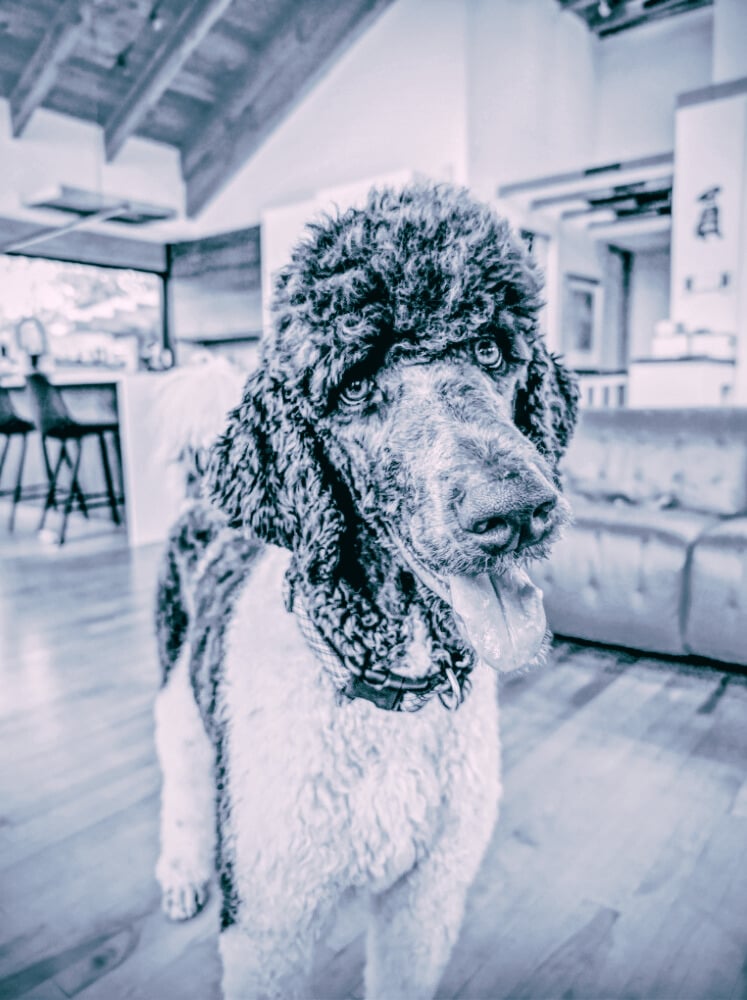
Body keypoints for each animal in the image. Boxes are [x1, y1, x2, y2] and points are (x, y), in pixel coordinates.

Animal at [154, 182, 578, 999]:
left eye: (490, 349)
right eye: (353, 386)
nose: (516, 510)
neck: (388, 694)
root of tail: (198, 494)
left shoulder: (427, 897)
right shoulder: (269, 918)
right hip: (175, 691)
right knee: (183, 784)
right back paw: (182, 870)